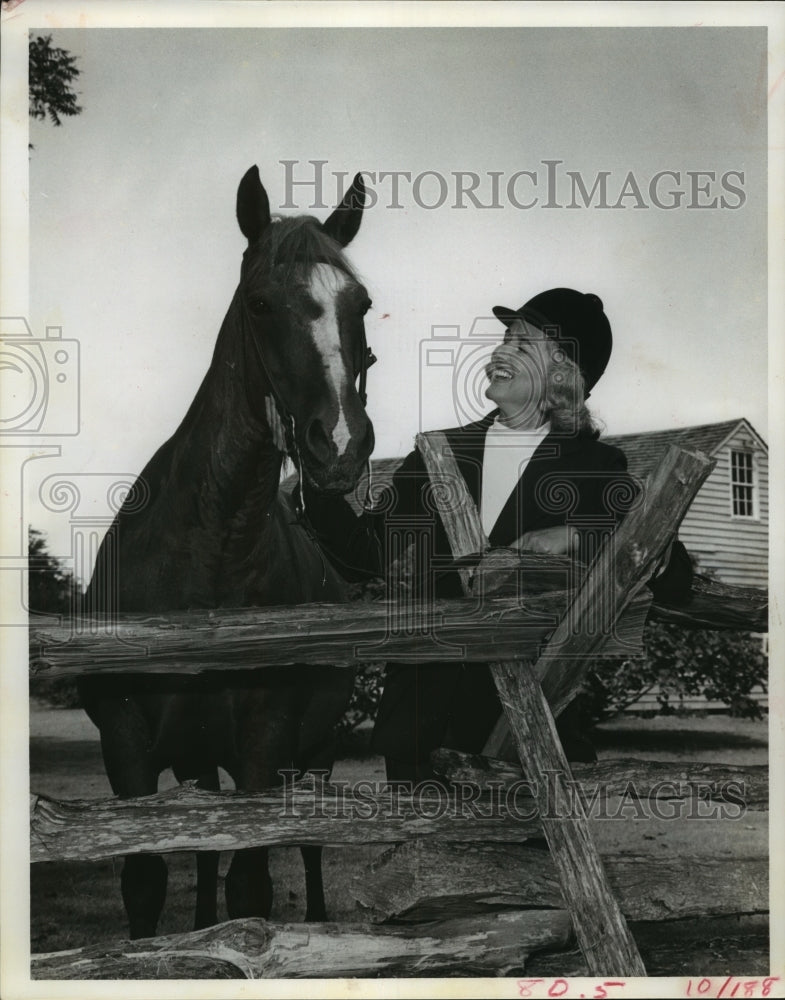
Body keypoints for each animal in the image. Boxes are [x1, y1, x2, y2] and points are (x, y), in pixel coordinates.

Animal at [79, 164, 374, 936]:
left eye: (362, 303)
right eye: (261, 303)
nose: (339, 445)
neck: (205, 561)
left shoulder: (265, 742)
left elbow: (251, 884)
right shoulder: (126, 741)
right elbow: (146, 879)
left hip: (315, 756)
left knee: (306, 847)